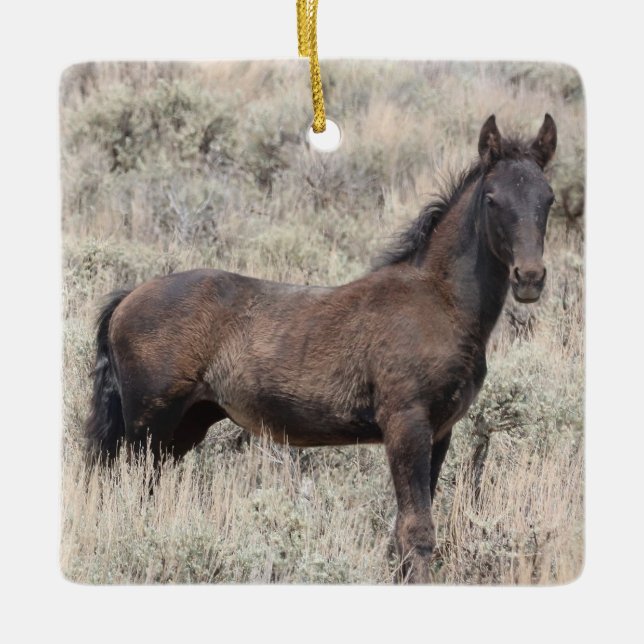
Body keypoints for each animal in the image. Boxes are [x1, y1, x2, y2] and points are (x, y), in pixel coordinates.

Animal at [84, 114, 557, 582]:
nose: (530, 278)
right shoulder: (406, 425)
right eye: (492, 199)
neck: (438, 301)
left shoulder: (440, 432)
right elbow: (416, 531)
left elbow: (404, 532)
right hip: (149, 425)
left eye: (548, 199)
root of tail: (127, 297)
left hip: (186, 425)